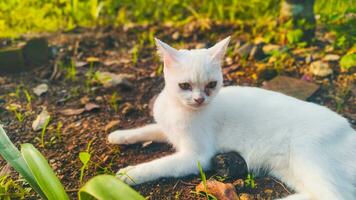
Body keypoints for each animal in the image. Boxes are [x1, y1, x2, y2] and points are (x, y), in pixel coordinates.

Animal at [108, 36, 356, 199]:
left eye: (211, 85)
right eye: (185, 86)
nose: (199, 99)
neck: (177, 109)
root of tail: (350, 130)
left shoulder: (197, 156)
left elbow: (158, 165)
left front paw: (129, 174)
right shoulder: (167, 130)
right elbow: (148, 129)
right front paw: (118, 136)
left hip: (307, 157)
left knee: (337, 195)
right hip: (290, 171)